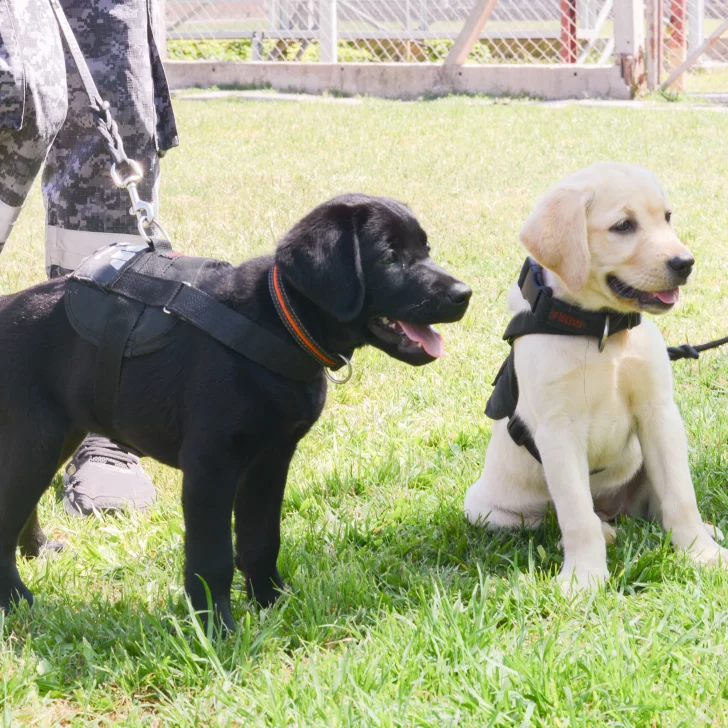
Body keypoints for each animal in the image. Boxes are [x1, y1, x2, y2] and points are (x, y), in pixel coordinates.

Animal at [1, 195, 472, 632]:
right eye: (389, 258)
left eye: (426, 249)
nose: (464, 294)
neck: (279, 322)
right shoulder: (211, 467)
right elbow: (212, 558)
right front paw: (216, 628)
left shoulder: (270, 459)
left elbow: (261, 539)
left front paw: (271, 601)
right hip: (34, 441)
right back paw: (16, 601)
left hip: (54, 438)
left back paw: (38, 551)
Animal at [464, 162, 724, 588]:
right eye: (623, 226)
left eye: (667, 217)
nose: (685, 263)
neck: (601, 330)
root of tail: (612, 508)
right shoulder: (558, 431)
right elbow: (575, 514)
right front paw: (583, 579)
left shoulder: (659, 413)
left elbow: (680, 495)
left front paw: (701, 553)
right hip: (488, 510)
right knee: (560, 518)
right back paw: (602, 532)